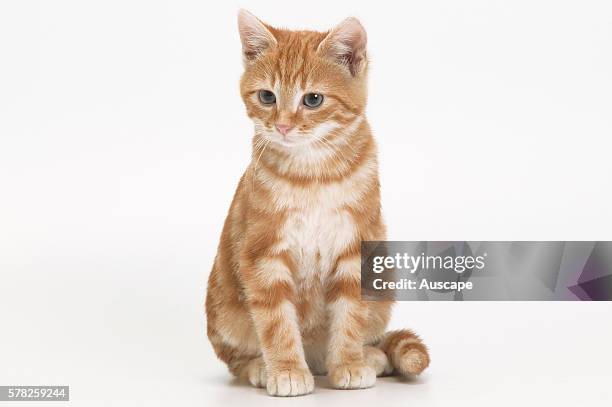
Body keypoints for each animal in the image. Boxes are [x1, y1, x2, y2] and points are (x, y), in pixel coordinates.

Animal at [207, 10, 430, 398]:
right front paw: (286, 370)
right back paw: (260, 366)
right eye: (267, 96)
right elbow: (277, 321)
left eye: (312, 100)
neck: (313, 174)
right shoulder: (263, 254)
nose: (282, 126)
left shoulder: (356, 250)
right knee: (235, 359)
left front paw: (349, 363)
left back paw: (369, 356)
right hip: (224, 313)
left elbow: (349, 317)